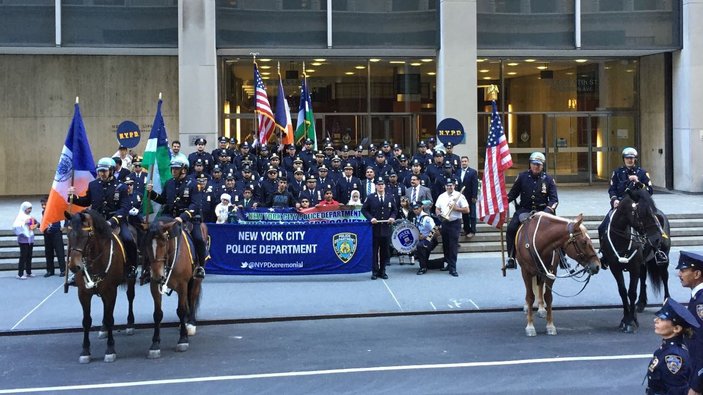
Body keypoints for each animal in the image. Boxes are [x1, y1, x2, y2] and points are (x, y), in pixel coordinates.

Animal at [65, 210, 138, 366]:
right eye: (68, 235)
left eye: (85, 235)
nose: (74, 266)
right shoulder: (83, 293)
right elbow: (86, 321)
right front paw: (85, 351)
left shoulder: (110, 291)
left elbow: (110, 319)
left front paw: (110, 349)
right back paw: (103, 328)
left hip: (130, 279)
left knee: (130, 297)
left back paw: (129, 324)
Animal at [144, 218, 205, 360]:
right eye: (147, 244)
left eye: (163, 243)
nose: (158, 276)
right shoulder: (154, 287)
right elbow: (157, 314)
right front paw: (155, 344)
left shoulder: (182, 285)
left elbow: (181, 310)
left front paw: (183, 339)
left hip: (195, 281)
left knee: (192, 299)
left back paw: (191, 323)